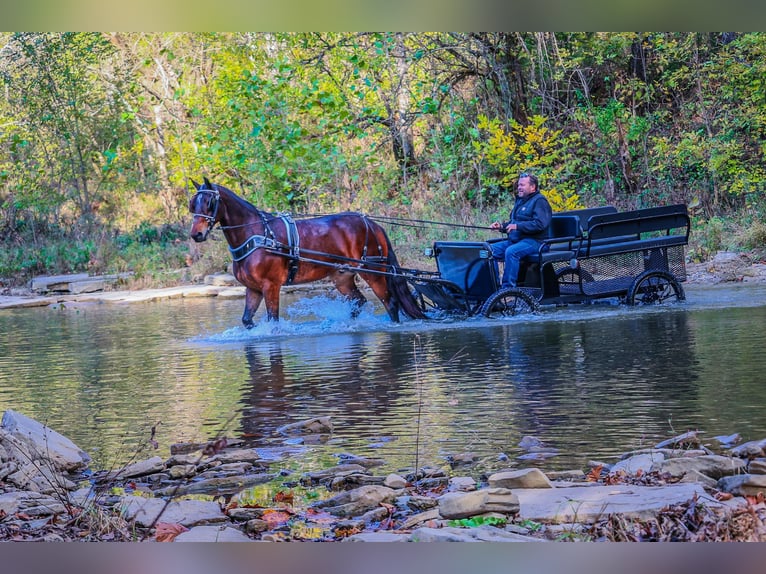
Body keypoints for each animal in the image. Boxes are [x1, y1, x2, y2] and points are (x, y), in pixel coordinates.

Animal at [186, 179, 426, 328]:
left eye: (209, 202)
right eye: (192, 205)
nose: (196, 234)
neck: (256, 235)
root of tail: (372, 224)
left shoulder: (270, 286)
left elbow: (273, 321)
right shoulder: (253, 288)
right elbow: (247, 320)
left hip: (373, 271)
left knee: (390, 303)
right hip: (342, 277)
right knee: (359, 302)